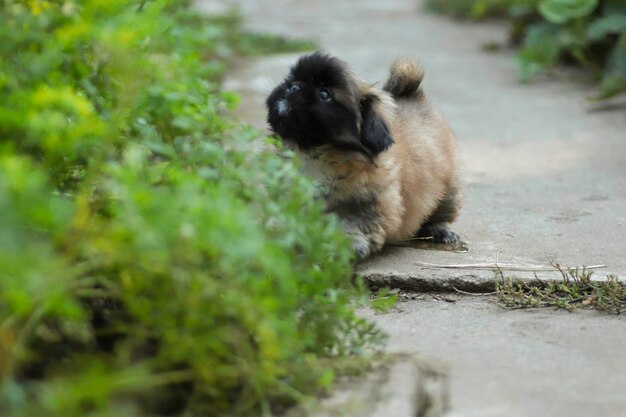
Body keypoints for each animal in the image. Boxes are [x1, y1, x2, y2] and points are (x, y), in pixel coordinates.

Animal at [266, 52, 460, 258]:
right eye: (292, 80)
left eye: (324, 94)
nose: (293, 87)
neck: (317, 153)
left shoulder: (369, 205)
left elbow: (350, 224)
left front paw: (343, 246)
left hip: (449, 190)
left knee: (441, 212)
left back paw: (440, 230)